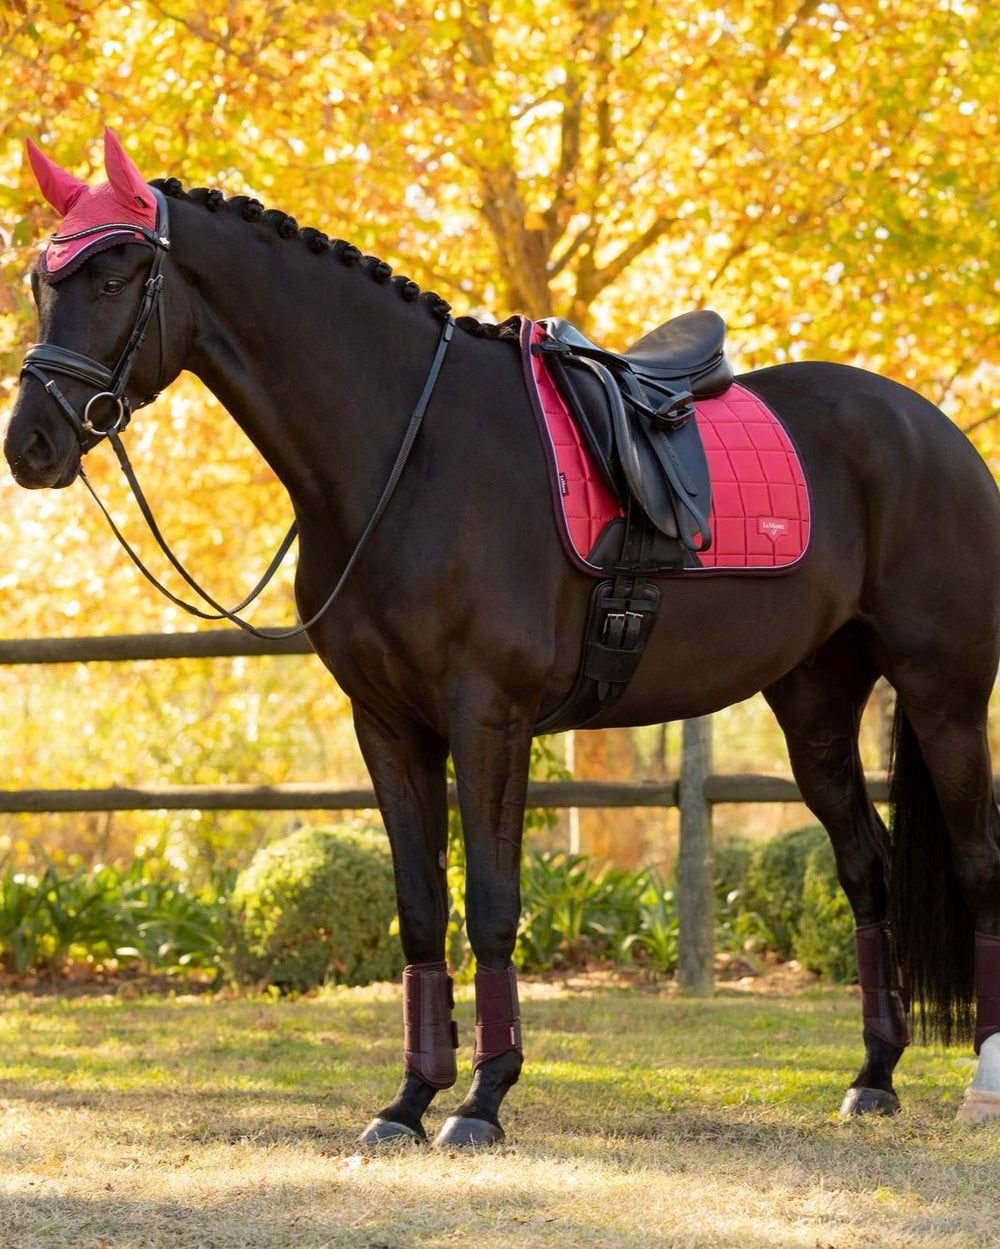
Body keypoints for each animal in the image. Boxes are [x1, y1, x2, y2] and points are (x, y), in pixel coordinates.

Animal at [6, 128, 1000, 1146]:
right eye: (42, 281)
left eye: (117, 276)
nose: (30, 445)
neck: (408, 453)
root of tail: (932, 428)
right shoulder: (388, 724)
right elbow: (418, 909)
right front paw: (409, 1099)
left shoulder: (489, 716)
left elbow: (490, 903)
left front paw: (482, 1099)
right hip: (815, 707)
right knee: (866, 867)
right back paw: (874, 1072)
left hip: (945, 696)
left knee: (977, 862)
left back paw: (982, 1084)